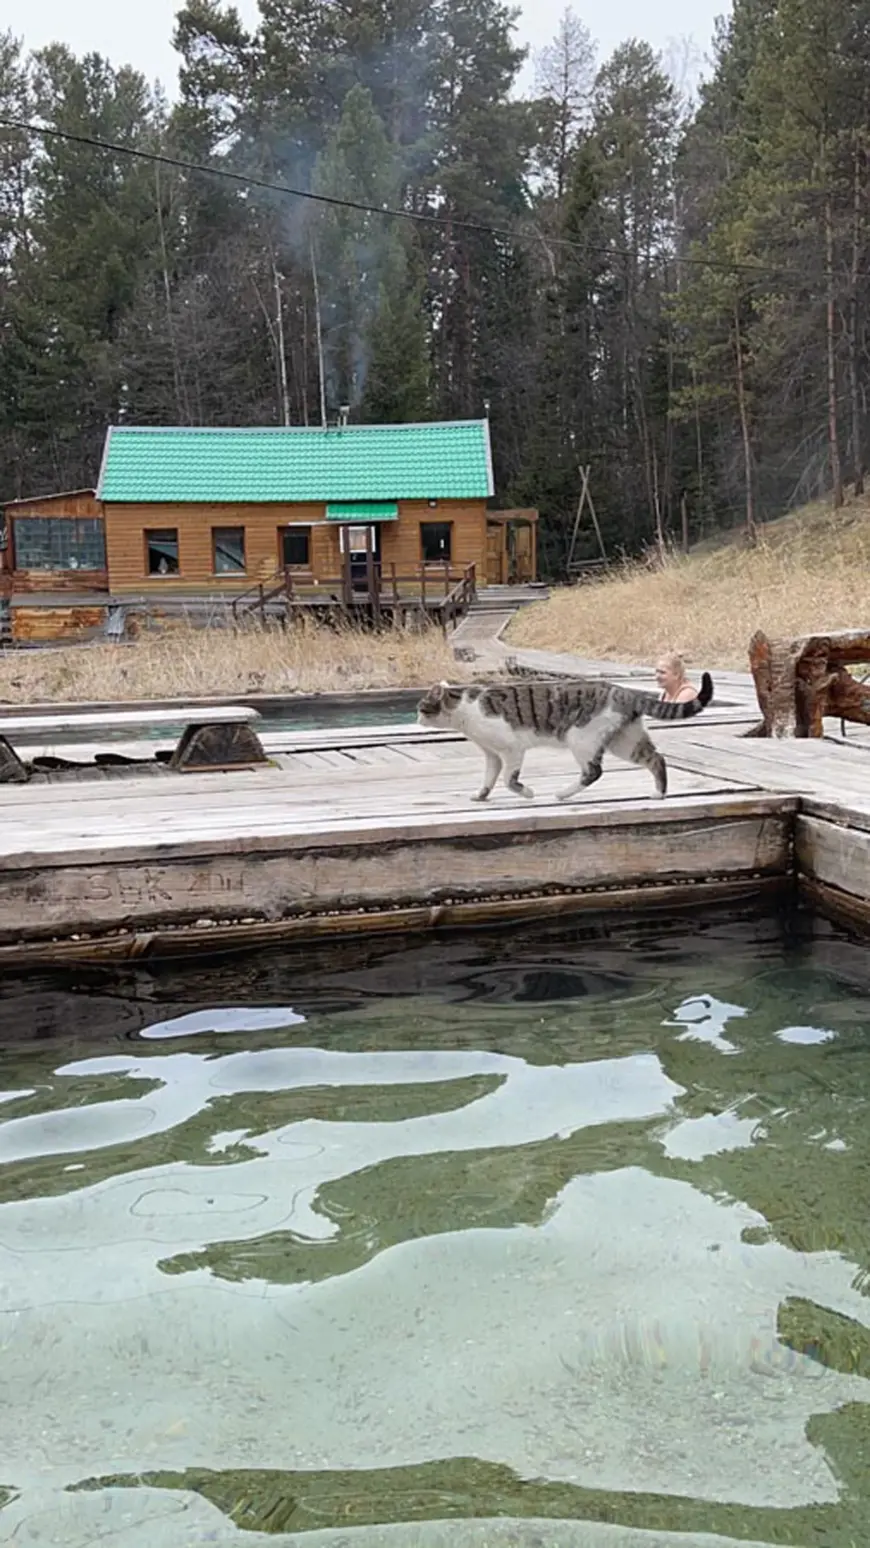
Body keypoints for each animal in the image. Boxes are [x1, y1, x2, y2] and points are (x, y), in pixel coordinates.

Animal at [414, 671, 712, 804]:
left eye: (421, 707)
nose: (416, 717)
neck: (464, 708)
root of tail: (624, 691)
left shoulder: (511, 749)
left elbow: (510, 780)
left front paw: (527, 792)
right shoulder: (492, 754)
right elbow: (489, 777)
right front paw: (481, 795)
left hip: (580, 738)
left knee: (593, 771)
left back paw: (563, 793)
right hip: (624, 741)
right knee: (656, 759)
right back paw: (659, 793)